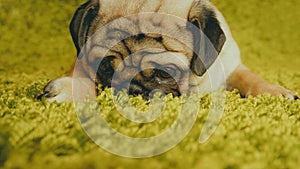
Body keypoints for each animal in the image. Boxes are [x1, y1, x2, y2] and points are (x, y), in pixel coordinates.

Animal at [38, 0, 298, 101]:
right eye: (105, 68)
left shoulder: (230, 65)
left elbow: (250, 78)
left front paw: (275, 92)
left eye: (164, 73)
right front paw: (71, 89)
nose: (133, 89)